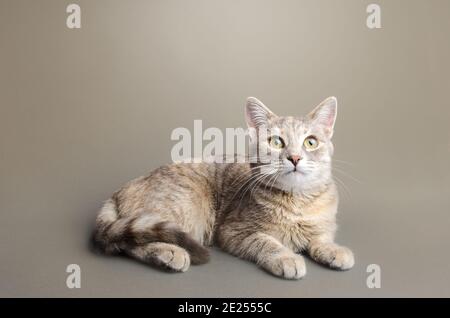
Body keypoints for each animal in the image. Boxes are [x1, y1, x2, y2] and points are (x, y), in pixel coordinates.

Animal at [93, 96, 356, 278]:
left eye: (310, 142)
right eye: (276, 142)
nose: (294, 157)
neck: (297, 202)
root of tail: (121, 190)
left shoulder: (324, 225)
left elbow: (321, 238)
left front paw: (334, 250)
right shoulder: (235, 231)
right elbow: (267, 242)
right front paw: (286, 257)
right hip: (183, 206)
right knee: (128, 244)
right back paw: (170, 253)